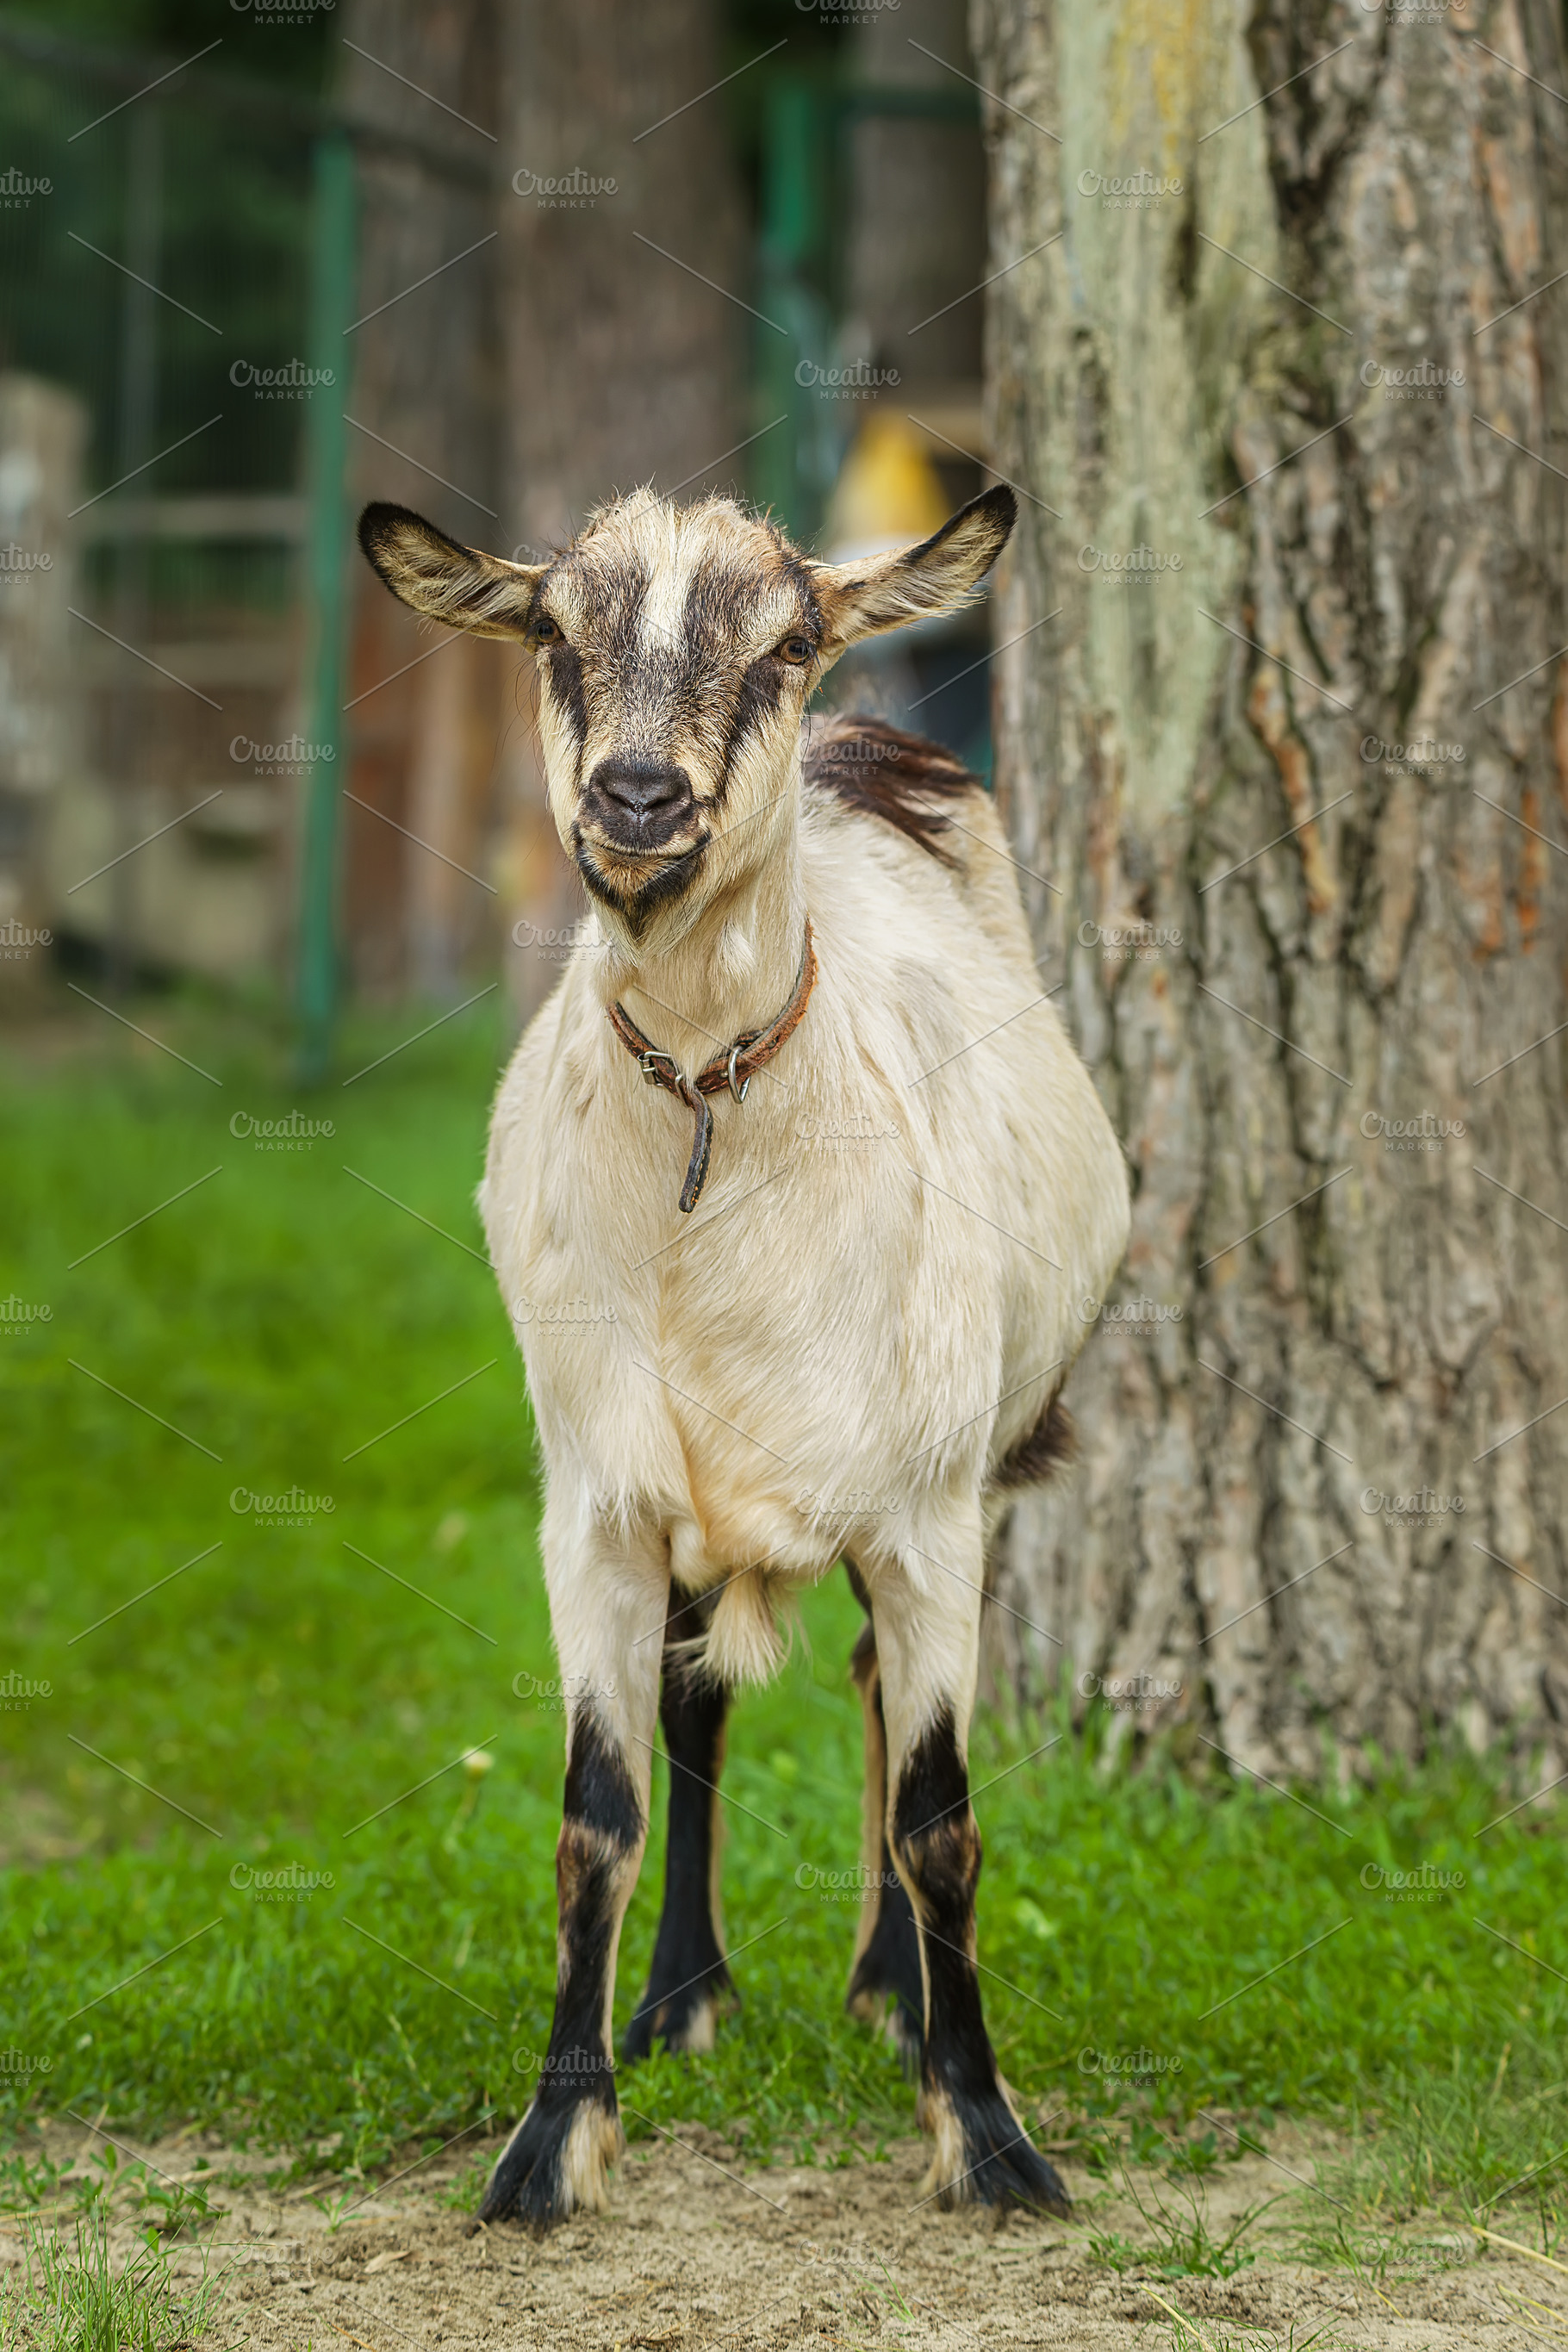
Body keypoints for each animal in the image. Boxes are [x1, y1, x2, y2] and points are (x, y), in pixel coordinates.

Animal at [359, 482, 1131, 2229]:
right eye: (553, 632)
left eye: (779, 641)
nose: (638, 798)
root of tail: (867, 741)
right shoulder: (596, 1503)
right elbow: (599, 1815)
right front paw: (553, 2141)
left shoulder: (929, 1511)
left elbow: (941, 1824)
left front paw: (989, 2138)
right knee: (697, 1703)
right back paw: (681, 1999)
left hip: (969, 1464)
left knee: (871, 1696)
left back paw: (893, 1996)